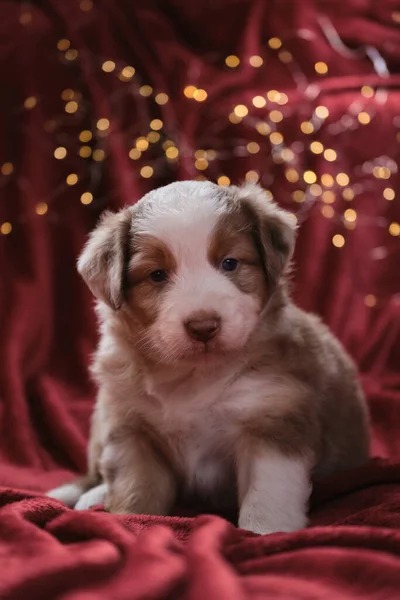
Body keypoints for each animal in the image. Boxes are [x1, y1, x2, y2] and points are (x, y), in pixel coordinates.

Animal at [48, 179, 370, 536]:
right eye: (157, 275)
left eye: (229, 263)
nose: (203, 326)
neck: (193, 376)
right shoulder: (131, 429)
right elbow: (136, 489)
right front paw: (129, 521)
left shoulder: (274, 422)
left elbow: (269, 493)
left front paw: (265, 533)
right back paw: (90, 495)